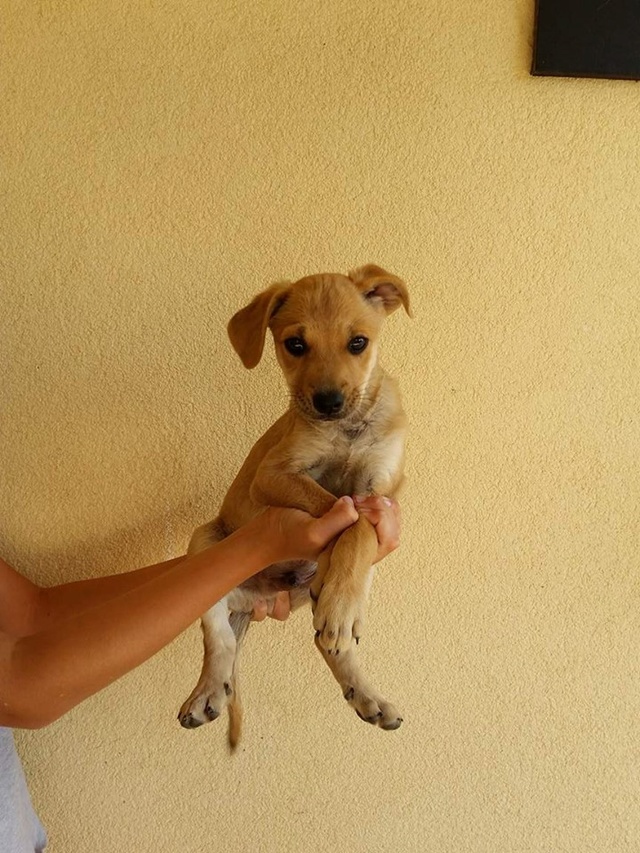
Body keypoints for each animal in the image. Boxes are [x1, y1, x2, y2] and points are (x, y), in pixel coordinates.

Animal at [179, 264, 410, 744]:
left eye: (358, 342)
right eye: (296, 345)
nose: (328, 402)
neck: (347, 429)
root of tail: (254, 598)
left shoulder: (381, 493)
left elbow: (359, 525)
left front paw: (340, 597)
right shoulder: (274, 476)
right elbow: (340, 507)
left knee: (327, 643)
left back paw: (365, 691)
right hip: (203, 544)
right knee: (218, 637)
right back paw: (207, 692)